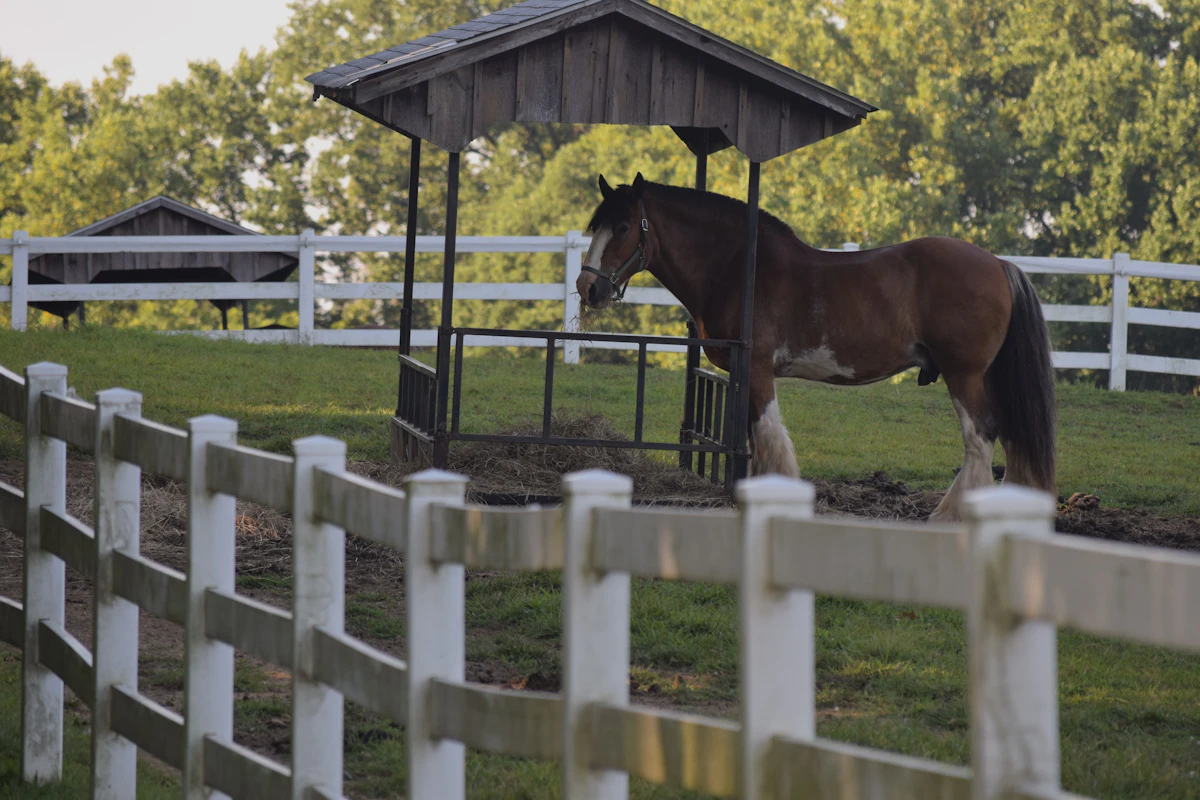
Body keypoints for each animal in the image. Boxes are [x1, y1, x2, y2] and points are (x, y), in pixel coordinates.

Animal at [576, 173, 1056, 521]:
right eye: (595, 225)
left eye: (623, 226)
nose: (587, 287)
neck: (739, 267)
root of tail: (999, 264)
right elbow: (754, 437)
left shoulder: (758, 369)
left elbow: (768, 436)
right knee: (1008, 436)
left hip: (965, 374)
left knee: (981, 437)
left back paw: (950, 515)